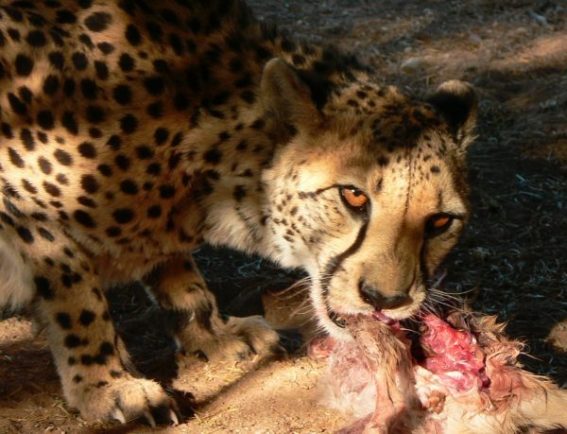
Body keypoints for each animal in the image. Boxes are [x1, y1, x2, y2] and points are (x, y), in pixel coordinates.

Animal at [0, 0, 480, 428]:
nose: (387, 300)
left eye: (440, 222)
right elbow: (77, 297)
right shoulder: (22, 208)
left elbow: (177, 272)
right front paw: (108, 386)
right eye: (353, 196)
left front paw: (212, 332)